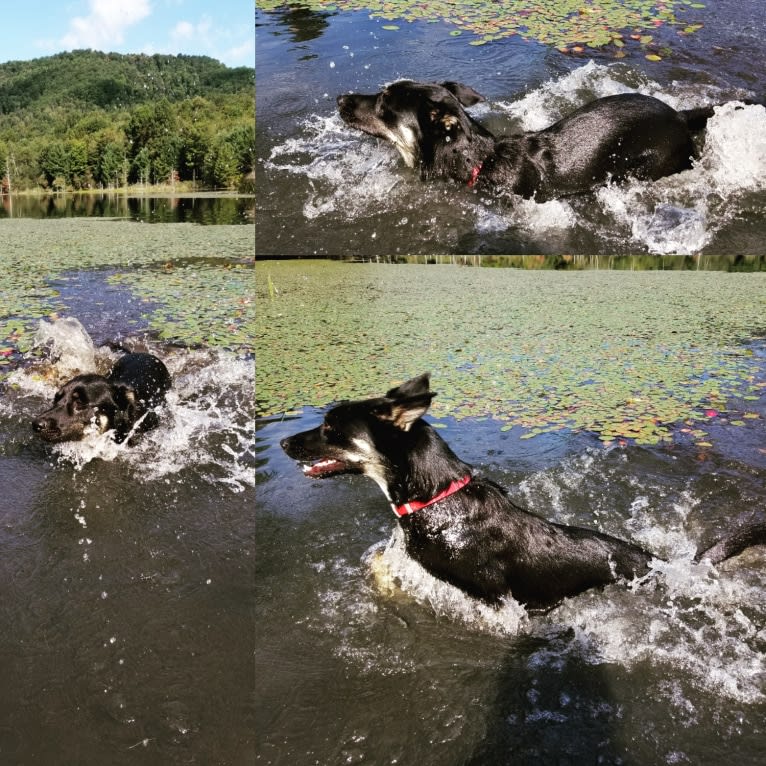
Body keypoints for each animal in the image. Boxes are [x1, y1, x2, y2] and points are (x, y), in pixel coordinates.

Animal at [282, 374, 766, 612]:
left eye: (330, 428)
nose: (284, 442)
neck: (439, 497)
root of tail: (660, 563)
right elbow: (382, 563)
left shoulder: (490, 595)